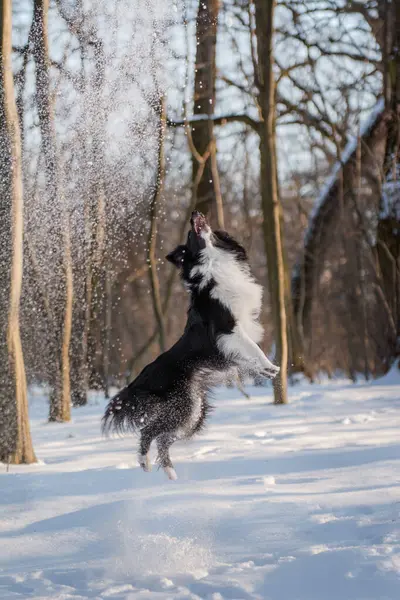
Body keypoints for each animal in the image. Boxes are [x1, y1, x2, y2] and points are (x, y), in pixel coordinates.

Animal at [101, 211, 280, 478]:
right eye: (189, 234)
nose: (196, 213)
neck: (213, 264)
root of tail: (139, 380)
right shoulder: (228, 329)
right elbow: (253, 348)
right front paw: (270, 367)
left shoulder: (242, 328)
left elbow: (250, 351)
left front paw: (262, 370)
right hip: (184, 408)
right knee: (148, 432)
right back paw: (146, 464)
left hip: (193, 414)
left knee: (162, 439)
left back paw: (170, 475)